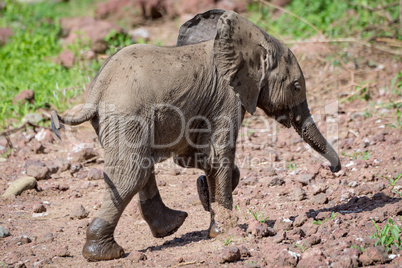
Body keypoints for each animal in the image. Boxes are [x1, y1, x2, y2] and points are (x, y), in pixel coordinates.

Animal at [49, 9, 340, 260]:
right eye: (296, 86)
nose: (335, 169)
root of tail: (96, 92)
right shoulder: (228, 97)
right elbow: (220, 154)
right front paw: (226, 230)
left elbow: (201, 157)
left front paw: (206, 194)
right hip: (128, 115)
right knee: (131, 173)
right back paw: (106, 253)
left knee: (141, 166)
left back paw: (170, 226)